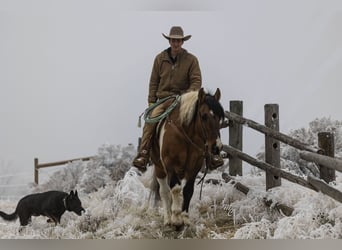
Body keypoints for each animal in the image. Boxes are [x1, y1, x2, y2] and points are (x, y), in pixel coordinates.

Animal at [150, 87, 224, 229]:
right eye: (204, 116)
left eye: (220, 117)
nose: (216, 147)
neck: (185, 136)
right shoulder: (170, 165)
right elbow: (175, 189)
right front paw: (176, 219)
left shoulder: (194, 168)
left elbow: (188, 190)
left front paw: (185, 218)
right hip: (159, 168)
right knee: (165, 192)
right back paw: (168, 218)